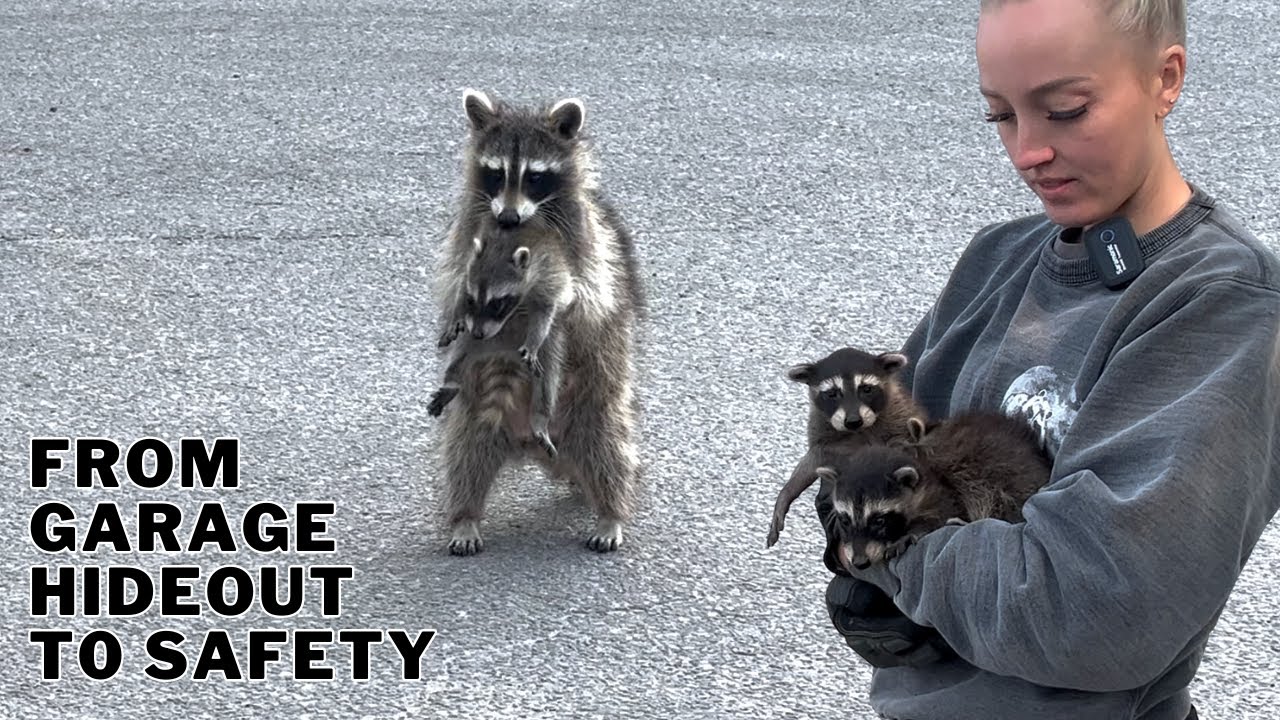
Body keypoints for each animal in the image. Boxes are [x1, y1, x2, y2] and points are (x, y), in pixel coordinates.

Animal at [432, 89, 644, 556]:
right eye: (496, 174)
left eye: (534, 177)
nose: (508, 218)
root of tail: (532, 442)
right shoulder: (470, 233)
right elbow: (456, 280)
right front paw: (457, 312)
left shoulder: (588, 245)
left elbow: (586, 300)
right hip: (477, 418)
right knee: (466, 456)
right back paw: (465, 516)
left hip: (595, 405)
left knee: (608, 454)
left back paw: (610, 512)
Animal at [765, 347, 925, 548]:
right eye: (833, 393)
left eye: (866, 389)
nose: (853, 420)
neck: (857, 432)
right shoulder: (823, 433)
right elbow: (812, 463)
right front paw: (787, 492)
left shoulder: (899, 420)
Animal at [818, 410, 1053, 575]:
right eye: (844, 521)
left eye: (880, 521)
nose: (859, 562)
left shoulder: (945, 483)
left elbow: (945, 510)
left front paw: (916, 529)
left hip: (1006, 480)